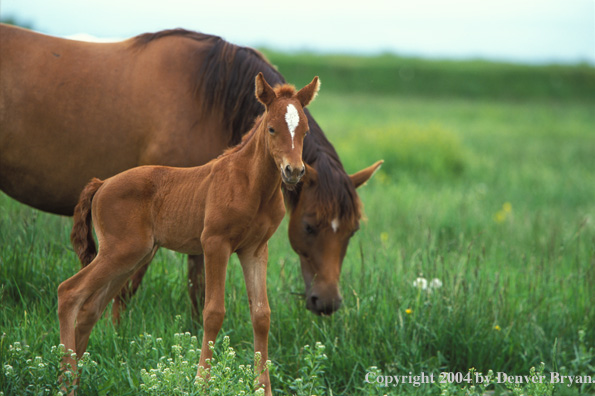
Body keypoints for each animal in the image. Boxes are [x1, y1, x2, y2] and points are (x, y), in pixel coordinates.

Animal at [0, 24, 382, 316]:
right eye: (308, 226)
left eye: (352, 232)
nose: (327, 303)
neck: (205, 98)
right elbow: (132, 286)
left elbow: (198, 287)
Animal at [59, 73, 322, 392]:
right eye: (272, 128)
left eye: (305, 131)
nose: (293, 172)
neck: (250, 184)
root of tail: (101, 183)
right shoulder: (215, 243)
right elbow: (213, 312)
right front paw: (201, 383)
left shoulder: (255, 249)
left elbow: (261, 315)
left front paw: (263, 389)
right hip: (120, 251)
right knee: (69, 292)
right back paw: (64, 381)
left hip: (132, 256)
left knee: (90, 309)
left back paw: (75, 378)